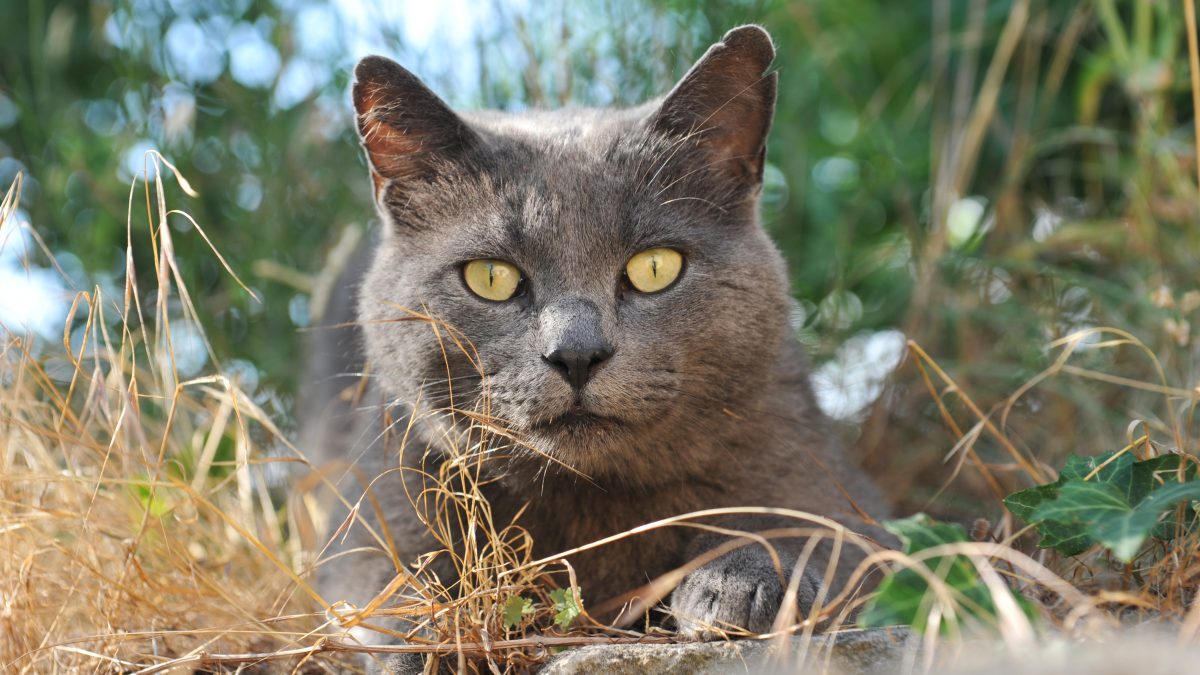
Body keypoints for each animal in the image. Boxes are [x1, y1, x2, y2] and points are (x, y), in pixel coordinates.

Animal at [304, 23, 897, 667]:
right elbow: (391, 599)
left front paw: (740, 583)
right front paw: (429, 646)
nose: (576, 353)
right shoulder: (379, 507)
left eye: (655, 267)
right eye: (491, 277)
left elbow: (821, 535)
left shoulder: (830, 483)